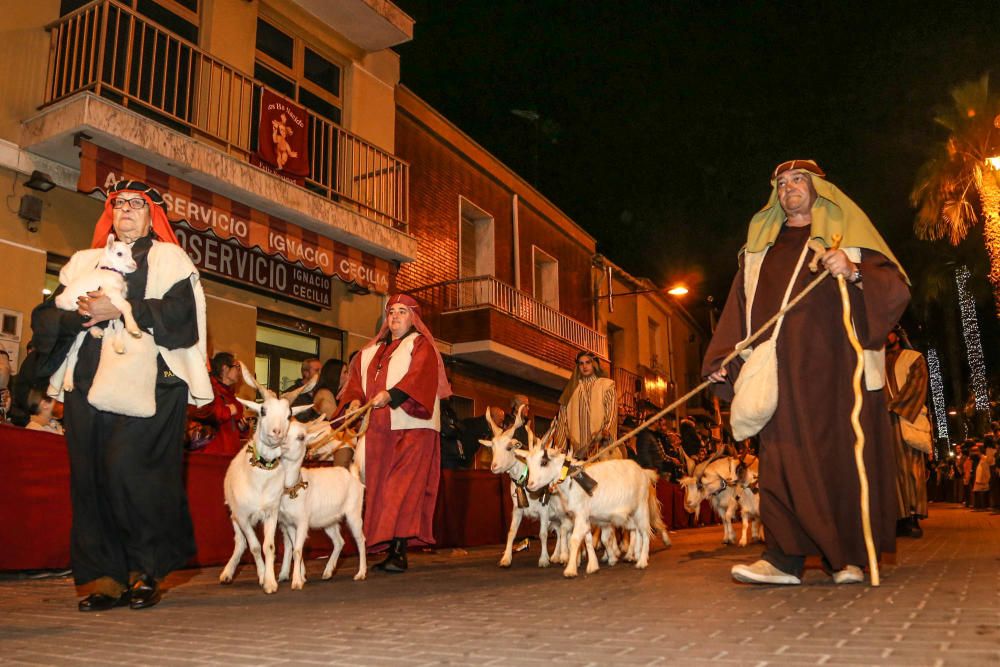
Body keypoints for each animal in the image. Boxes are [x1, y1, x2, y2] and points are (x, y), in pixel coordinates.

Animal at [55, 235, 141, 392]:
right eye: (119, 254)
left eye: (131, 254)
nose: (134, 265)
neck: (110, 270)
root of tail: (58, 300)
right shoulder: (111, 293)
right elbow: (127, 306)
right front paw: (134, 329)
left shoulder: (114, 307)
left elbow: (119, 323)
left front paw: (118, 344)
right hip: (75, 329)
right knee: (72, 355)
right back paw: (68, 382)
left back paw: (95, 330)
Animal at [221, 366, 314, 596]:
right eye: (262, 410)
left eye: (289, 415)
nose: (277, 432)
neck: (259, 481)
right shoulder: (243, 515)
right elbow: (254, 546)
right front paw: (263, 577)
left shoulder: (271, 513)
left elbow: (269, 547)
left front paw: (270, 581)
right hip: (233, 514)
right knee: (240, 543)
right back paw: (227, 573)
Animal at [278, 420, 372, 588]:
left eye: (301, 437)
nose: (282, 445)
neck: (294, 488)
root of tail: (354, 477)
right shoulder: (289, 524)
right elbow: (296, 549)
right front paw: (301, 577)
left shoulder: (302, 522)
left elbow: (297, 550)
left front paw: (296, 582)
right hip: (329, 521)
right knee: (339, 541)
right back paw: (328, 572)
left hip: (354, 514)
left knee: (360, 539)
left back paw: (361, 573)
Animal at [478, 408, 568, 568]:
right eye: (492, 447)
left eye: (509, 447)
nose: (494, 467)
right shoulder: (517, 509)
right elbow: (512, 532)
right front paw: (506, 559)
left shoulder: (544, 509)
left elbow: (543, 534)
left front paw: (543, 560)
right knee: (559, 530)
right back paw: (556, 556)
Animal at [524, 444, 672, 580]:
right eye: (528, 464)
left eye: (543, 462)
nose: (530, 485)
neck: (572, 480)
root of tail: (644, 472)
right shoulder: (585, 517)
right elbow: (588, 539)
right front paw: (593, 566)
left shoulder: (580, 514)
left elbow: (575, 539)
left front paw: (570, 570)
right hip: (630, 515)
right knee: (637, 531)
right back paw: (635, 554)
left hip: (641, 508)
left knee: (645, 532)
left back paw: (642, 561)